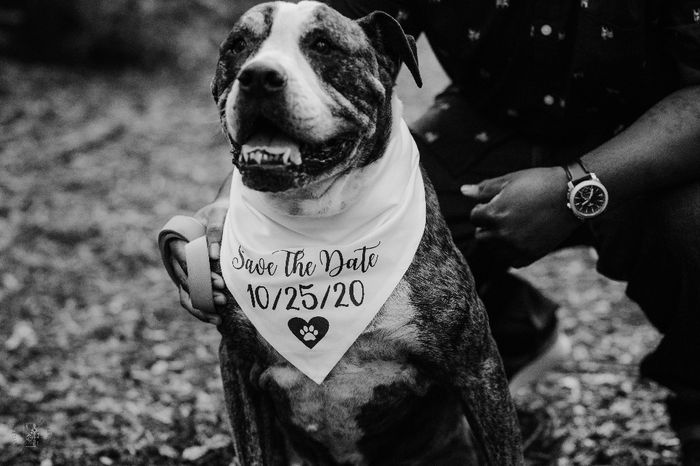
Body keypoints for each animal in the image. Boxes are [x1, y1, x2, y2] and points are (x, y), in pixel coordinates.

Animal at [209, 1, 524, 464]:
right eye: (237, 46)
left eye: (323, 45)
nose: (259, 75)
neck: (319, 226)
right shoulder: (238, 365)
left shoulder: (475, 364)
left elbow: (504, 448)